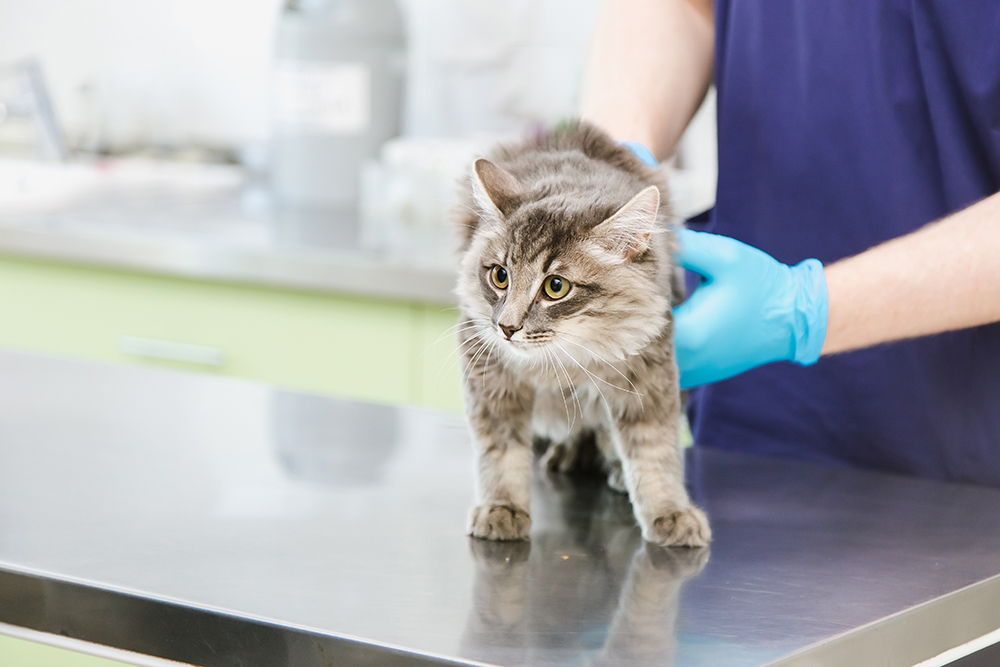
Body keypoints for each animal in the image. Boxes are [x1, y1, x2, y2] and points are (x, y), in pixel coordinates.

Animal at [454, 121, 712, 548]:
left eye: (556, 286)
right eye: (500, 276)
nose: (507, 327)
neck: (565, 358)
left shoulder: (649, 374)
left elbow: (654, 451)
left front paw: (670, 512)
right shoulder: (489, 372)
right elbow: (500, 450)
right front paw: (502, 508)